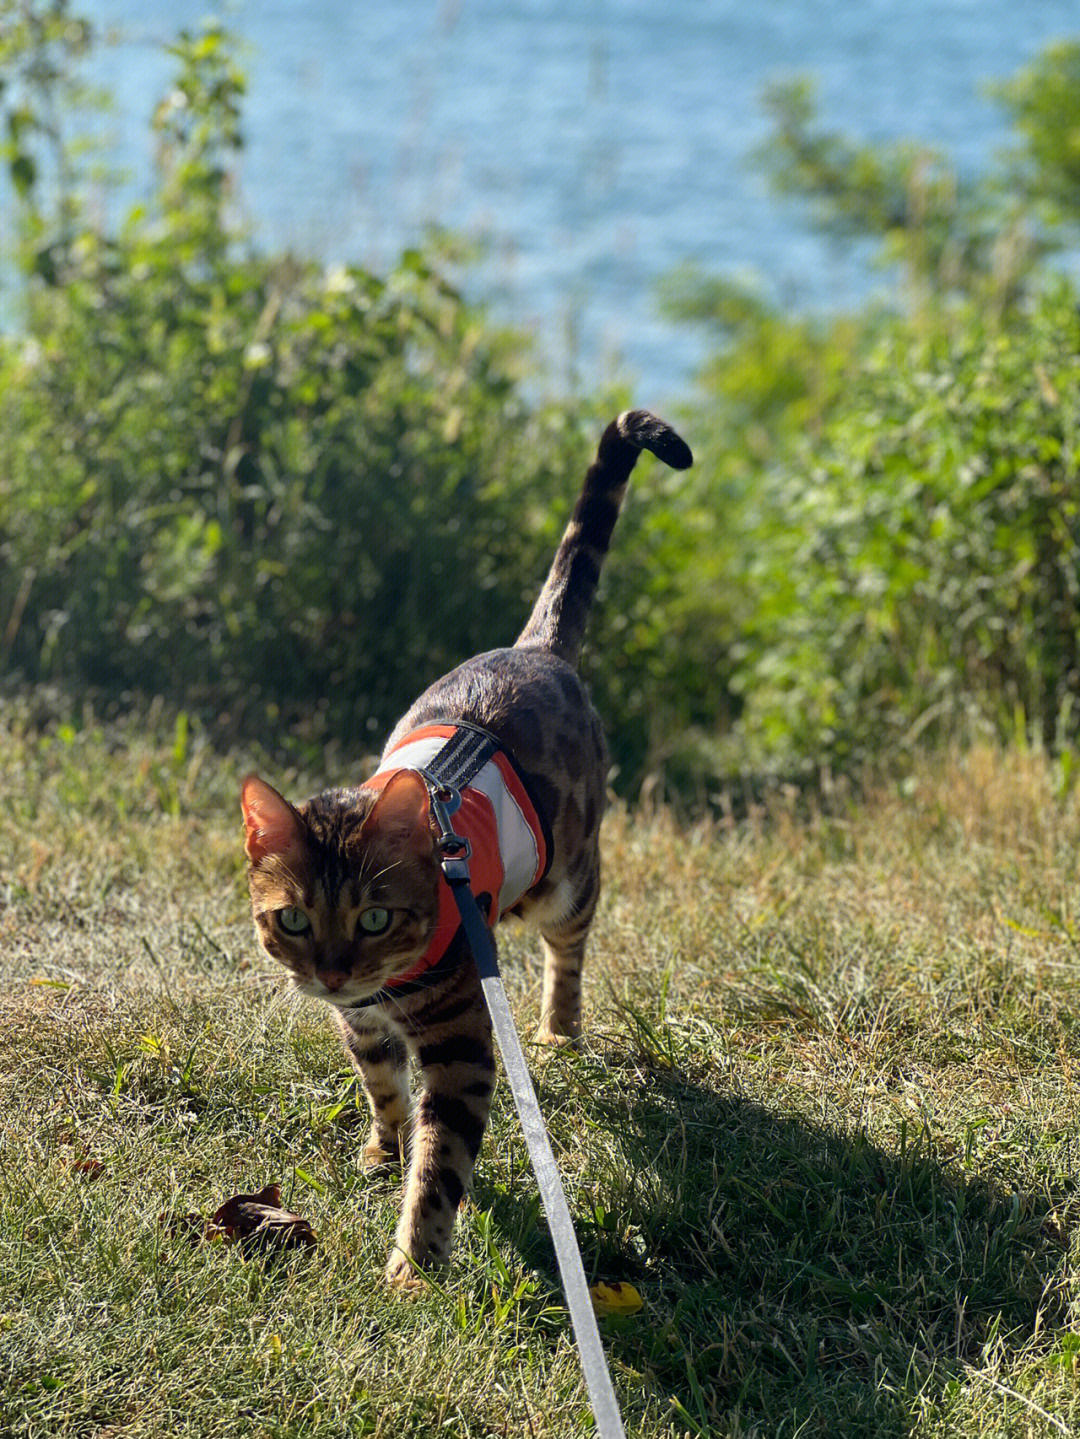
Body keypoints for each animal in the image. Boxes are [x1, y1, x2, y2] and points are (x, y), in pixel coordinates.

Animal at [238, 411, 693, 1289]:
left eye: (375, 917)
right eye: (295, 919)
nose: (334, 974)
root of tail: (537, 649)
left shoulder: (458, 1046)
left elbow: (440, 1162)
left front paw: (412, 1267)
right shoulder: (364, 1027)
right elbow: (383, 1090)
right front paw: (382, 1149)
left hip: (570, 881)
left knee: (567, 952)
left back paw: (557, 1029)